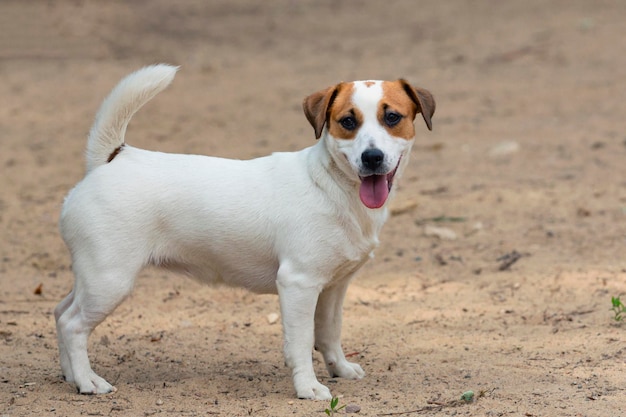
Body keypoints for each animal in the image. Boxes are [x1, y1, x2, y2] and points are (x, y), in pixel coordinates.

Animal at [54, 63, 434, 398]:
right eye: (348, 122)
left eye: (392, 118)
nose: (372, 157)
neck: (331, 185)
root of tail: (113, 157)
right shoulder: (298, 284)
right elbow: (300, 342)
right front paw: (308, 388)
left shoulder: (333, 288)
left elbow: (328, 333)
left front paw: (339, 369)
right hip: (110, 280)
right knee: (74, 325)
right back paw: (88, 382)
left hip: (93, 278)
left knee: (60, 313)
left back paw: (71, 376)